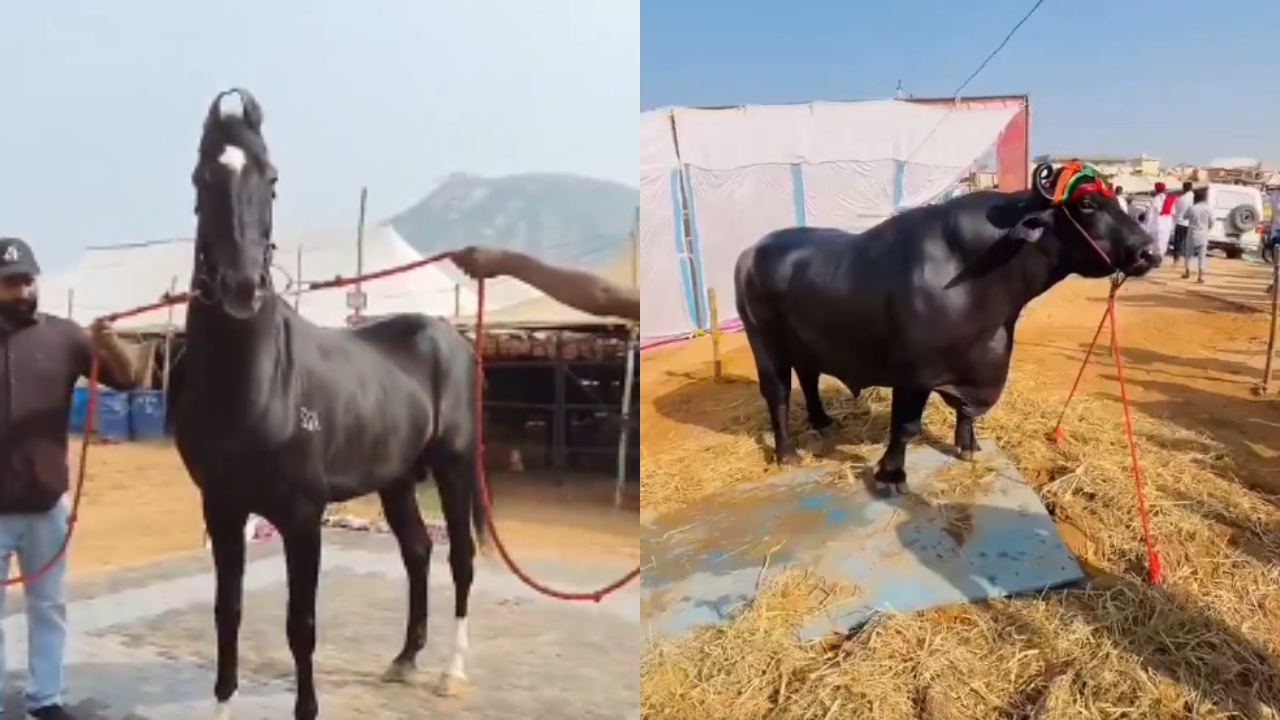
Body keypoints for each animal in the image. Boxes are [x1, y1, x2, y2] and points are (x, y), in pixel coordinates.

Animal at [174, 88, 487, 720]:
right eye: (201, 176)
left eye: (271, 178)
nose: (243, 287)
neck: (254, 389)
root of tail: (450, 337)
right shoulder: (221, 509)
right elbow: (227, 615)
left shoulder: (301, 516)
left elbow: (302, 625)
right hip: (397, 478)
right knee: (418, 551)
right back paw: (404, 659)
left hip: (454, 466)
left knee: (460, 557)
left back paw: (451, 672)